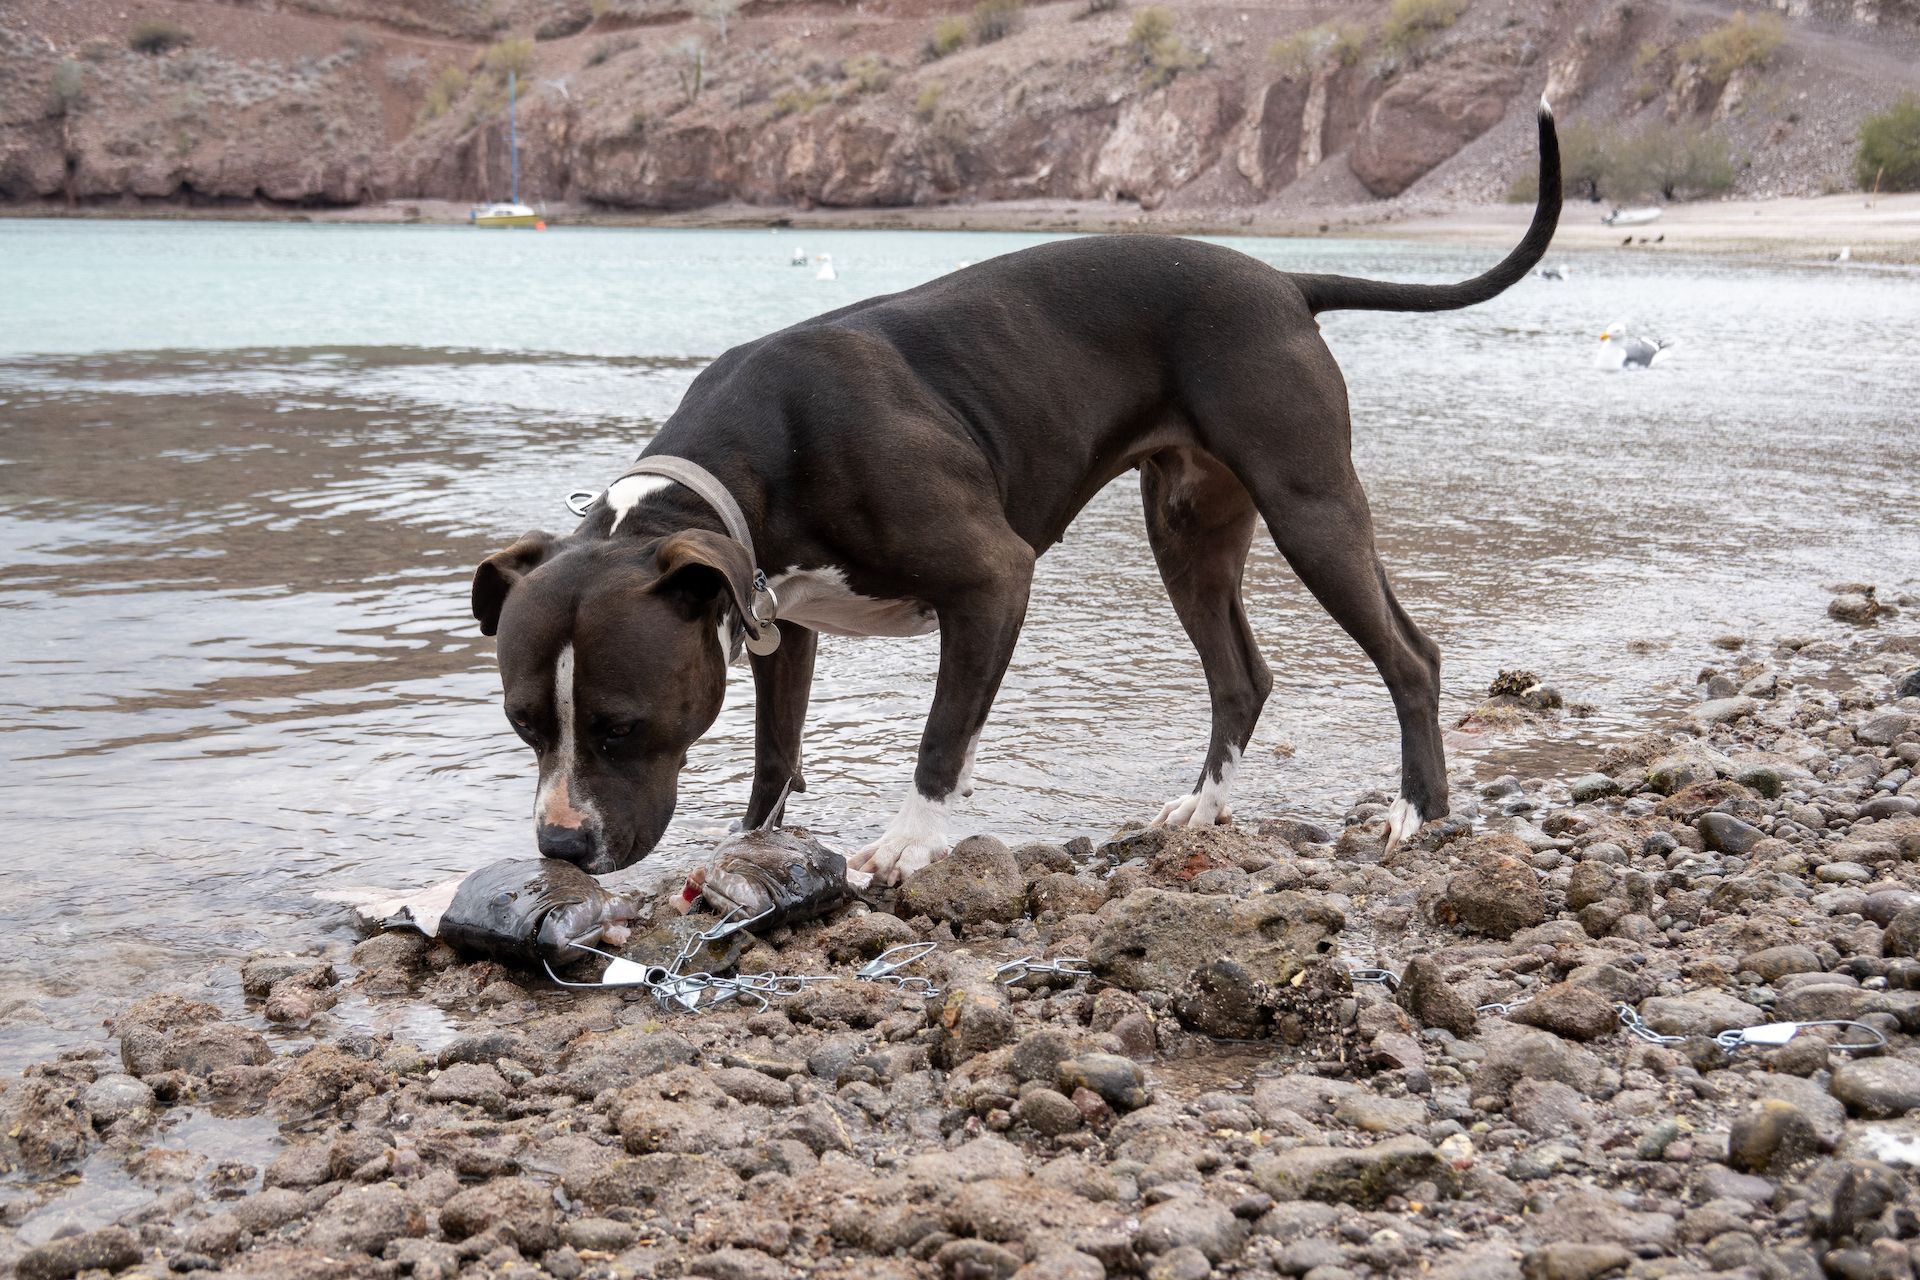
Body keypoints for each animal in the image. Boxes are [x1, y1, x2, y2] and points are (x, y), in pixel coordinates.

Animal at [468, 105, 1559, 886]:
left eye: (620, 724)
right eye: (525, 724)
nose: (561, 847)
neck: (752, 464)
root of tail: (1284, 281)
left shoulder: (992, 580)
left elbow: (942, 737)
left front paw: (907, 843)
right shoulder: (781, 621)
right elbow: (776, 754)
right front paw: (753, 847)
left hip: (1310, 505)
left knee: (1409, 654)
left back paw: (1417, 810)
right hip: (1190, 532)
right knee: (1240, 676)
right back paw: (1205, 809)